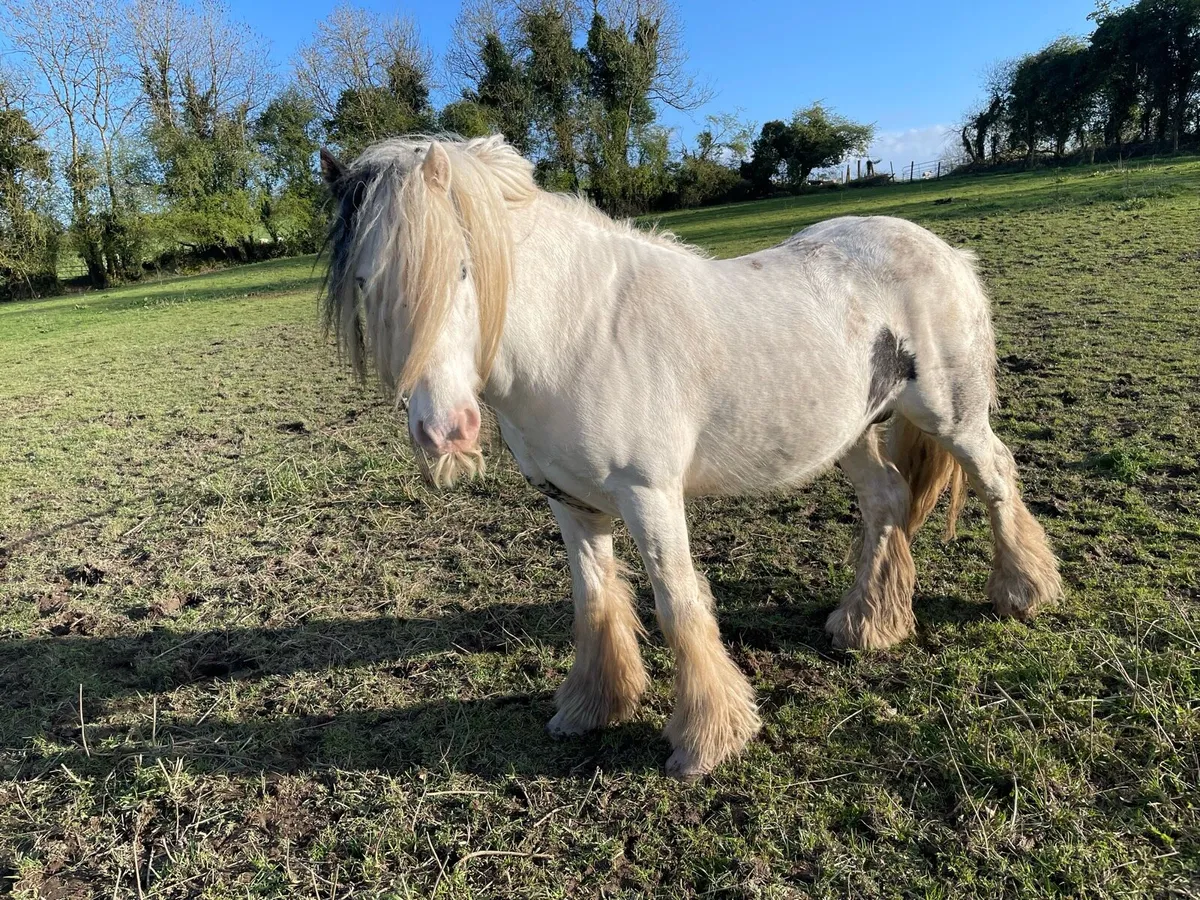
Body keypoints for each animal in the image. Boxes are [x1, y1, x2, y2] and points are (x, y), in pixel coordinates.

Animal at [318, 134, 1062, 778]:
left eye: (464, 270)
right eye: (366, 284)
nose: (445, 431)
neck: (577, 334)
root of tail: (944, 251)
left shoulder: (649, 496)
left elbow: (678, 604)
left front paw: (707, 740)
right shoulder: (570, 502)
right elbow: (594, 600)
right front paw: (592, 706)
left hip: (953, 416)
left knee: (996, 477)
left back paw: (1023, 592)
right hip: (849, 433)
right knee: (887, 499)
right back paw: (867, 625)